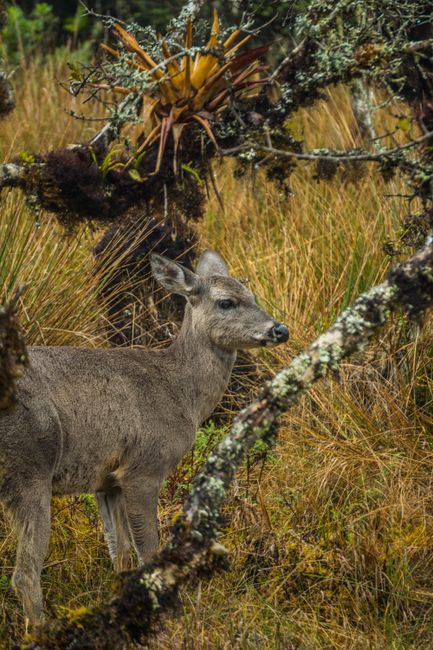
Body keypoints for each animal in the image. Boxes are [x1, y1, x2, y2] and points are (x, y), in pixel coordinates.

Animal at [0, 249, 289, 627]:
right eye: (226, 301)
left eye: (253, 295)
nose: (279, 329)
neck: (181, 393)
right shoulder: (144, 468)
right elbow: (148, 552)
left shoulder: (106, 480)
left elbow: (120, 556)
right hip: (30, 466)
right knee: (25, 574)